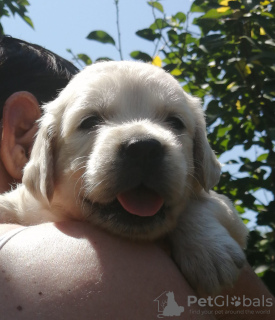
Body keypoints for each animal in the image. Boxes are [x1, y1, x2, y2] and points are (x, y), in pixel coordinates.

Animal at [0, 61, 249, 294]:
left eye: (175, 122)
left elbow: (202, 203)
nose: (143, 148)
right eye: (89, 121)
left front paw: (210, 250)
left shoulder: (227, 211)